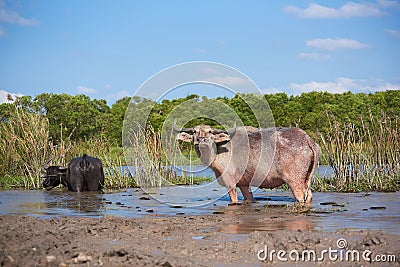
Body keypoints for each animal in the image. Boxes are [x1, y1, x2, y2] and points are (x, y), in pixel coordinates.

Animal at [177, 125, 320, 205]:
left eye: (210, 132)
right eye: (194, 131)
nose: (201, 140)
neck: (218, 150)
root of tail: (307, 140)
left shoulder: (230, 181)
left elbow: (234, 200)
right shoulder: (244, 183)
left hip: (295, 181)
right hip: (306, 179)